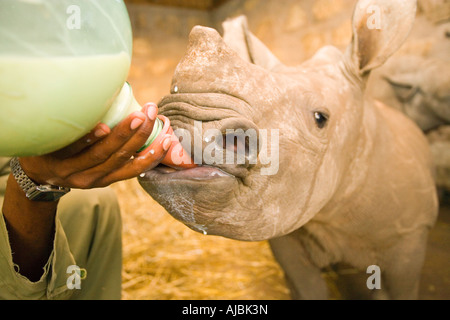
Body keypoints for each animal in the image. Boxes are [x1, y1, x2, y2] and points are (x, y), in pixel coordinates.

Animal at [139, 0, 438, 300]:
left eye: (320, 118)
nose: (179, 124)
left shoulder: (410, 233)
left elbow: (404, 288)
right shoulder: (285, 230)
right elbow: (307, 288)